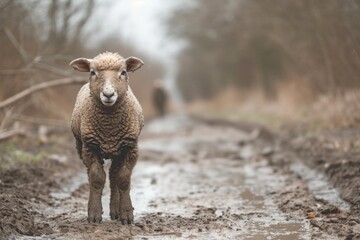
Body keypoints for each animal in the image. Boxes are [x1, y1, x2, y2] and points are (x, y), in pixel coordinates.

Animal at [69, 51, 144, 224]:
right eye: (92, 72)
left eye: (123, 72)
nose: (108, 94)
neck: (109, 128)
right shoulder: (90, 147)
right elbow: (97, 179)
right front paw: (94, 214)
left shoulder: (130, 147)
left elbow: (123, 179)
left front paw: (126, 215)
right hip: (80, 147)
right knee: (94, 175)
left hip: (118, 150)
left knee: (114, 176)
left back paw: (115, 210)